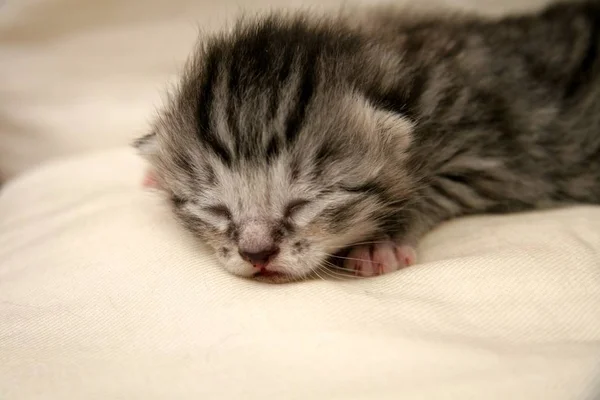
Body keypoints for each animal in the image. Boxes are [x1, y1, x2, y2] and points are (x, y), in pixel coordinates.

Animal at [134, 0, 600, 282]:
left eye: (302, 203)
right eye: (216, 209)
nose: (257, 254)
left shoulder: (490, 152)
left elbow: (431, 187)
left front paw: (380, 242)